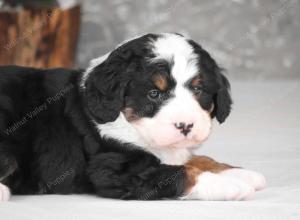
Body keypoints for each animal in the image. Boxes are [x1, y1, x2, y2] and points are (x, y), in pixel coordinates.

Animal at [0, 33, 266, 201]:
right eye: (154, 93)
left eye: (198, 89)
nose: (185, 126)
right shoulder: (113, 170)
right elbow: (179, 172)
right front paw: (229, 185)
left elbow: (197, 159)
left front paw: (239, 173)